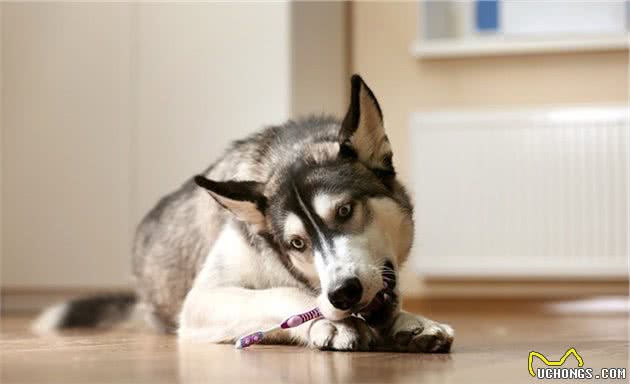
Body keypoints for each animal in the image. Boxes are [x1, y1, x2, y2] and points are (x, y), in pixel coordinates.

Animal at [34, 76, 454, 354]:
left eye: (345, 210)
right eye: (296, 243)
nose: (343, 293)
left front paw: (414, 321)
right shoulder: (203, 300)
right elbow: (285, 292)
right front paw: (326, 322)